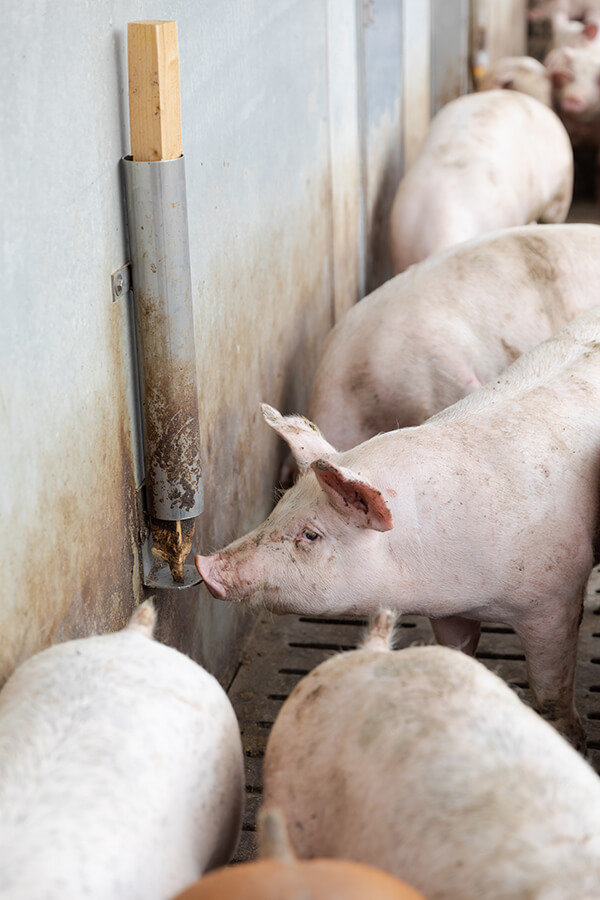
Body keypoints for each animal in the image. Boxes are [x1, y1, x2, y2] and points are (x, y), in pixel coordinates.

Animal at [196, 308, 600, 744]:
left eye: (311, 534)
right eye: (279, 505)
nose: (205, 565)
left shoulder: (555, 599)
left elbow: (550, 693)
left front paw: (571, 738)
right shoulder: (450, 609)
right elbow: (457, 650)